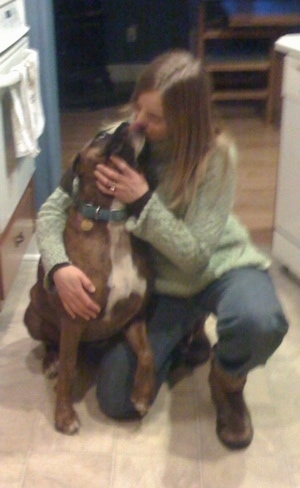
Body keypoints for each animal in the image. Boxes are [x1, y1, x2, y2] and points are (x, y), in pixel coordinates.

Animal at [24, 122, 155, 434]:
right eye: (100, 136)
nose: (130, 123)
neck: (111, 217)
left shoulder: (133, 315)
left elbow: (147, 354)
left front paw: (142, 395)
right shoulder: (73, 319)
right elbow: (68, 369)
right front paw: (64, 416)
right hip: (32, 309)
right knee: (50, 343)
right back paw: (50, 361)